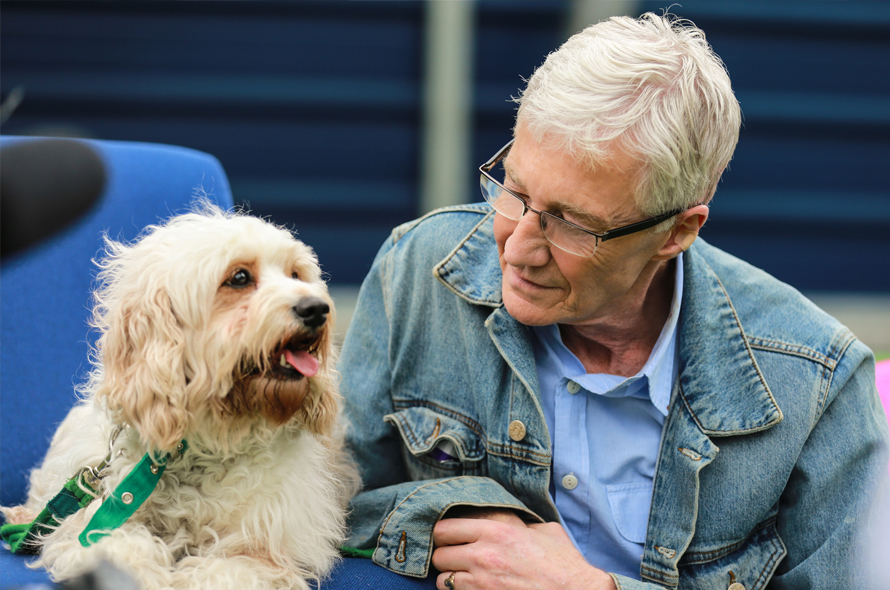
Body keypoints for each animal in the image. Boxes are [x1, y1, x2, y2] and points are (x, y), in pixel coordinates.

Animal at [2, 205, 360, 590]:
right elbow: (118, 546)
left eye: (296, 274)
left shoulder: (262, 552)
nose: (317, 308)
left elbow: (221, 572)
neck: (208, 442)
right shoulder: (95, 521)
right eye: (239, 278)